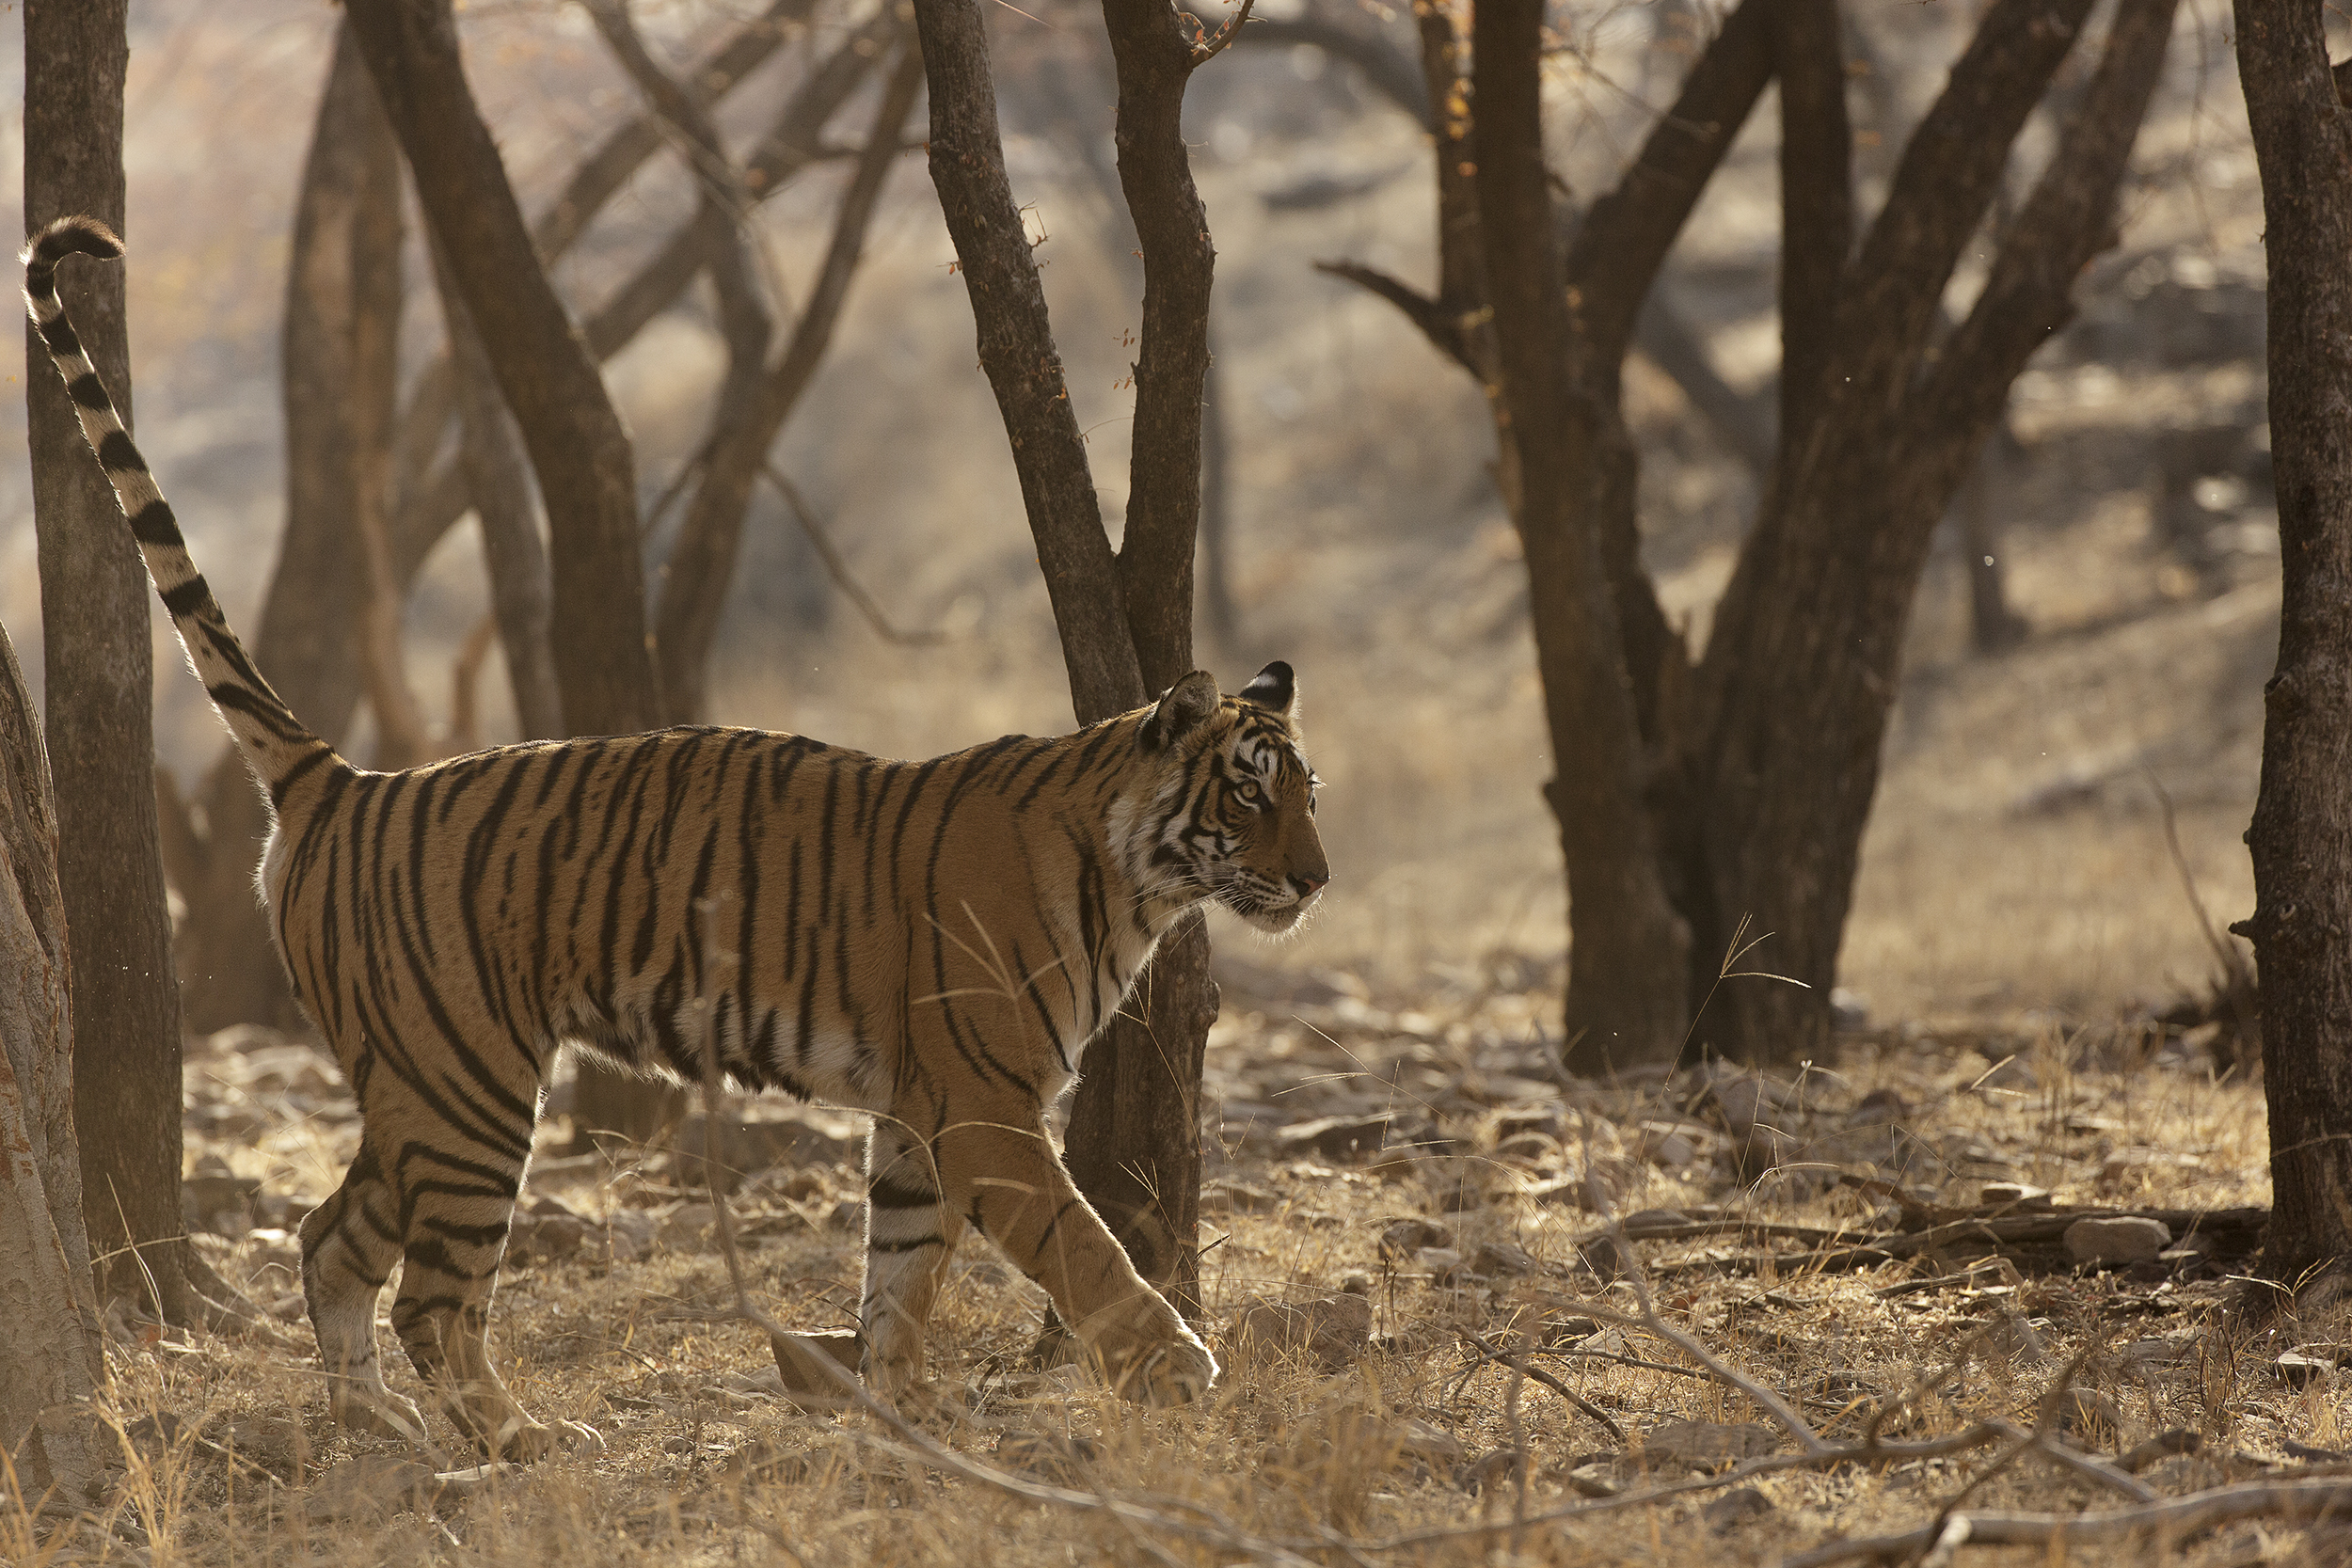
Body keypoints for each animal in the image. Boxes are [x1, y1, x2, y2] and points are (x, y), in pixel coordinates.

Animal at [24, 214, 1329, 1458]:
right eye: (1249, 795)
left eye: (1307, 791)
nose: (1317, 881)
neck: (1135, 875)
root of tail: (342, 780)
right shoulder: (984, 1106)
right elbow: (1082, 1246)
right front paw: (1175, 1369)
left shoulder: (919, 1112)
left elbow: (900, 1274)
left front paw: (912, 1413)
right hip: (467, 1084)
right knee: (432, 1297)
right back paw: (520, 1439)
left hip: (418, 1084)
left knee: (329, 1237)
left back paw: (376, 1426)